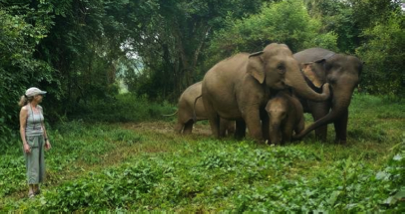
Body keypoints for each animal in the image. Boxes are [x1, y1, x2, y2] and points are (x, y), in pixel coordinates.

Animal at [200, 42, 330, 143]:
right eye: (280, 67)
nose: (326, 84)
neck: (260, 54)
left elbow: (266, 114)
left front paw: (268, 142)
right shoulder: (247, 84)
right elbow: (250, 111)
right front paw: (258, 144)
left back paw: (238, 140)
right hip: (206, 93)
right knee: (213, 117)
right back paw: (217, 139)